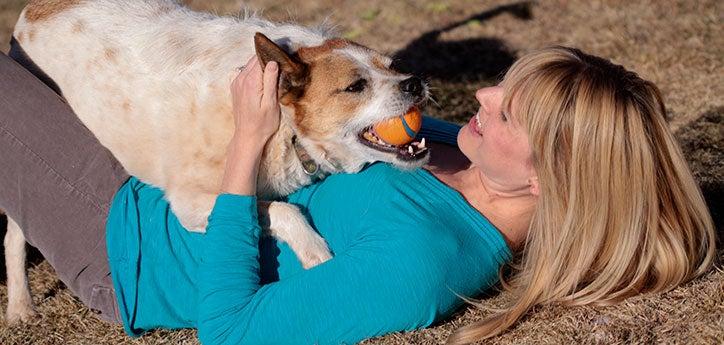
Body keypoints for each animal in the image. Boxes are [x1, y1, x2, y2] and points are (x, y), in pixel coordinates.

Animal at [2, 0, 430, 322]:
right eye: (356, 86)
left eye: (393, 67)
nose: (415, 82)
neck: (283, 124)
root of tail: (34, 10)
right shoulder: (192, 204)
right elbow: (285, 210)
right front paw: (318, 257)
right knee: (14, 235)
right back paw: (21, 306)